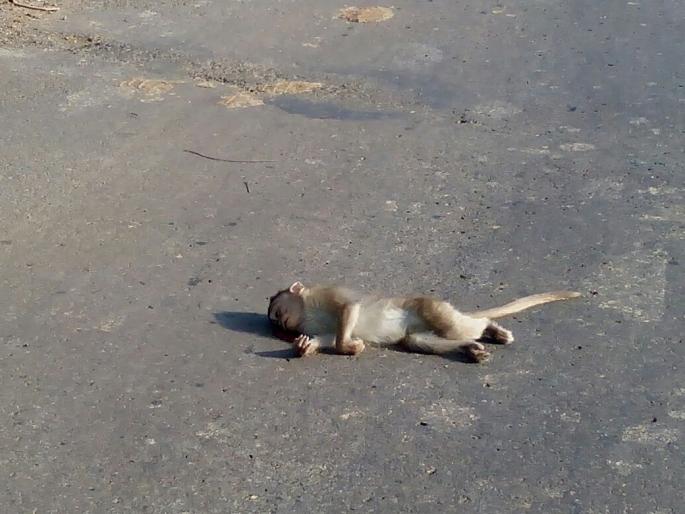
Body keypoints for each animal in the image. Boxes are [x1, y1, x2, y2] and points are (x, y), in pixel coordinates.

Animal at [267, 282, 581, 363]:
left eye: (278, 316)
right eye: (278, 325)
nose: (284, 328)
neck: (308, 308)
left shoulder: (328, 294)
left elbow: (348, 308)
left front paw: (349, 347)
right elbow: (327, 335)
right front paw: (304, 346)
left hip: (431, 308)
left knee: (464, 325)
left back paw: (492, 329)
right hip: (422, 326)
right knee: (416, 341)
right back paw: (472, 348)